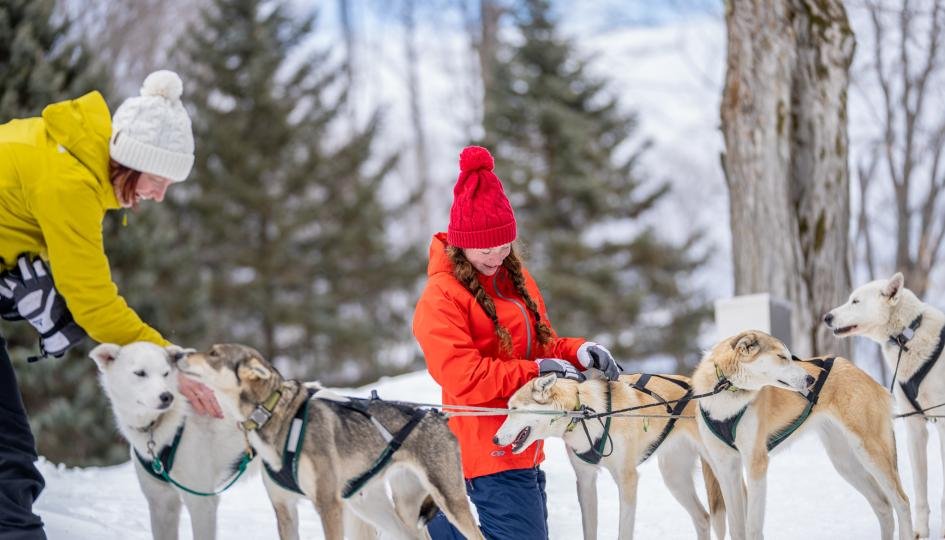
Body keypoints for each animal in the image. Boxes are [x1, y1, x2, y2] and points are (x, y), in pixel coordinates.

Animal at [494, 372, 724, 540]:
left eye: (514, 409)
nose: (495, 440)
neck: (586, 415)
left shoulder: (627, 479)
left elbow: (624, 531)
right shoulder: (585, 481)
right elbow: (589, 530)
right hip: (674, 478)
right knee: (703, 518)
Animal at [696, 330, 912, 540]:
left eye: (790, 356)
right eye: (782, 357)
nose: (811, 379)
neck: (726, 390)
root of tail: (862, 373)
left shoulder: (756, 463)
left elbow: (753, 528)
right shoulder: (726, 468)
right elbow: (736, 528)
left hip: (871, 453)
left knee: (902, 502)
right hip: (846, 463)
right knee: (883, 506)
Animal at [824, 274, 944, 540]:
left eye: (855, 301)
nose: (826, 317)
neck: (908, 336)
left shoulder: (944, 423)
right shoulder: (915, 427)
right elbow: (919, 489)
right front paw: (920, 531)